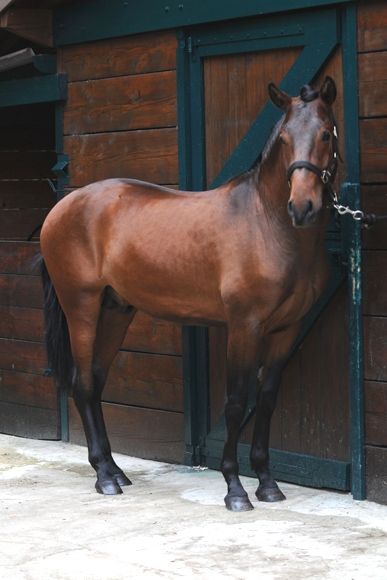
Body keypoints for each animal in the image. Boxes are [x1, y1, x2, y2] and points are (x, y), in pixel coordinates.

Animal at [40, 77, 340, 512]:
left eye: (326, 134)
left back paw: (115, 471)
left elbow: (266, 400)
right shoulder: (244, 326)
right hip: (81, 307)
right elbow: (236, 403)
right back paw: (104, 478)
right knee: (82, 384)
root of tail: (61, 207)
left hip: (116, 310)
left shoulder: (286, 330)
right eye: (284, 138)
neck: (270, 224)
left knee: (95, 379)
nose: (302, 207)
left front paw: (267, 484)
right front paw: (235, 488)